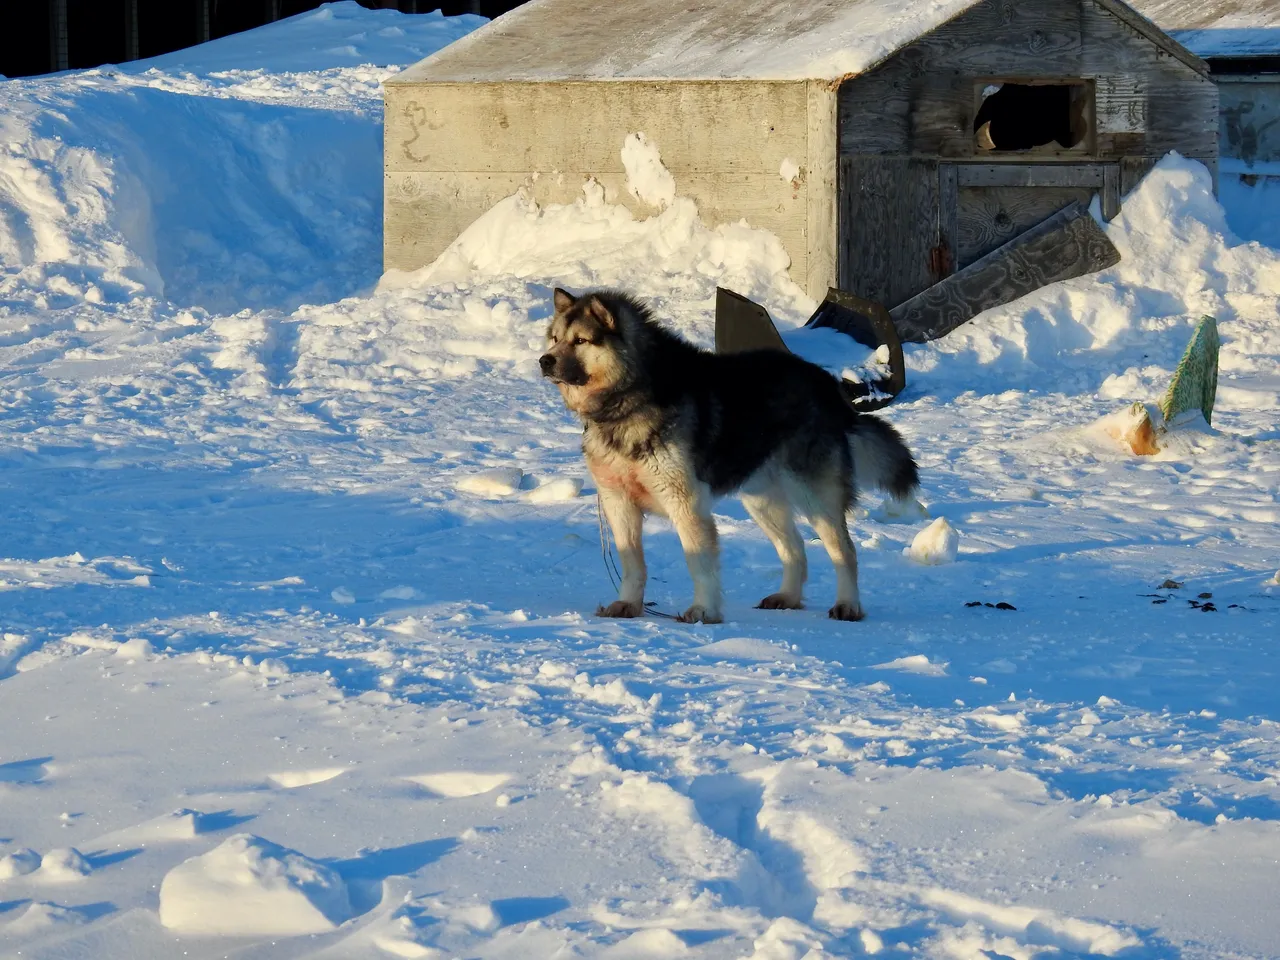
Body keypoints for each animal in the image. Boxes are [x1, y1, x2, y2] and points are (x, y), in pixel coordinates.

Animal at [540, 289, 921, 627]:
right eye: (554, 339)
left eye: (580, 341)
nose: (544, 361)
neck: (627, 398)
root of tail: (828, 384)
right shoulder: (617, 501)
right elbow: (632, 562)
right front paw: (627, 605)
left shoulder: (685, 502)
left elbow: (699, 563)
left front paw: (704, 612)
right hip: (762, 499)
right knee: (795, 547)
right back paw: (788, 597)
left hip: (815, 496)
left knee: (845, 551)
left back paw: (848, 605)